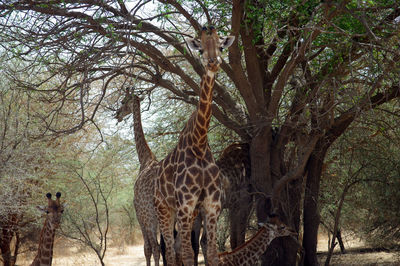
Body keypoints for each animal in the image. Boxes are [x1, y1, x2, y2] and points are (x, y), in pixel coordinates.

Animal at [114, 90, 159, 266]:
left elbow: (148, 248)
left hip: (151, 216)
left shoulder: (140, 212)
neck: (145, 158)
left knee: (155, 246)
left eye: (123, 101)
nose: (117, 114)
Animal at [153, 25, 234, 266]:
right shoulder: (185, 205)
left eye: (221, 46)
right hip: (164, 209)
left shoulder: (211, 206)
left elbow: (212, 254)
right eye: (200, 49)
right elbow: (189, 256)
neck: (199, 143)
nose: (213, 62)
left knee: (176, 249)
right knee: (171, 251)